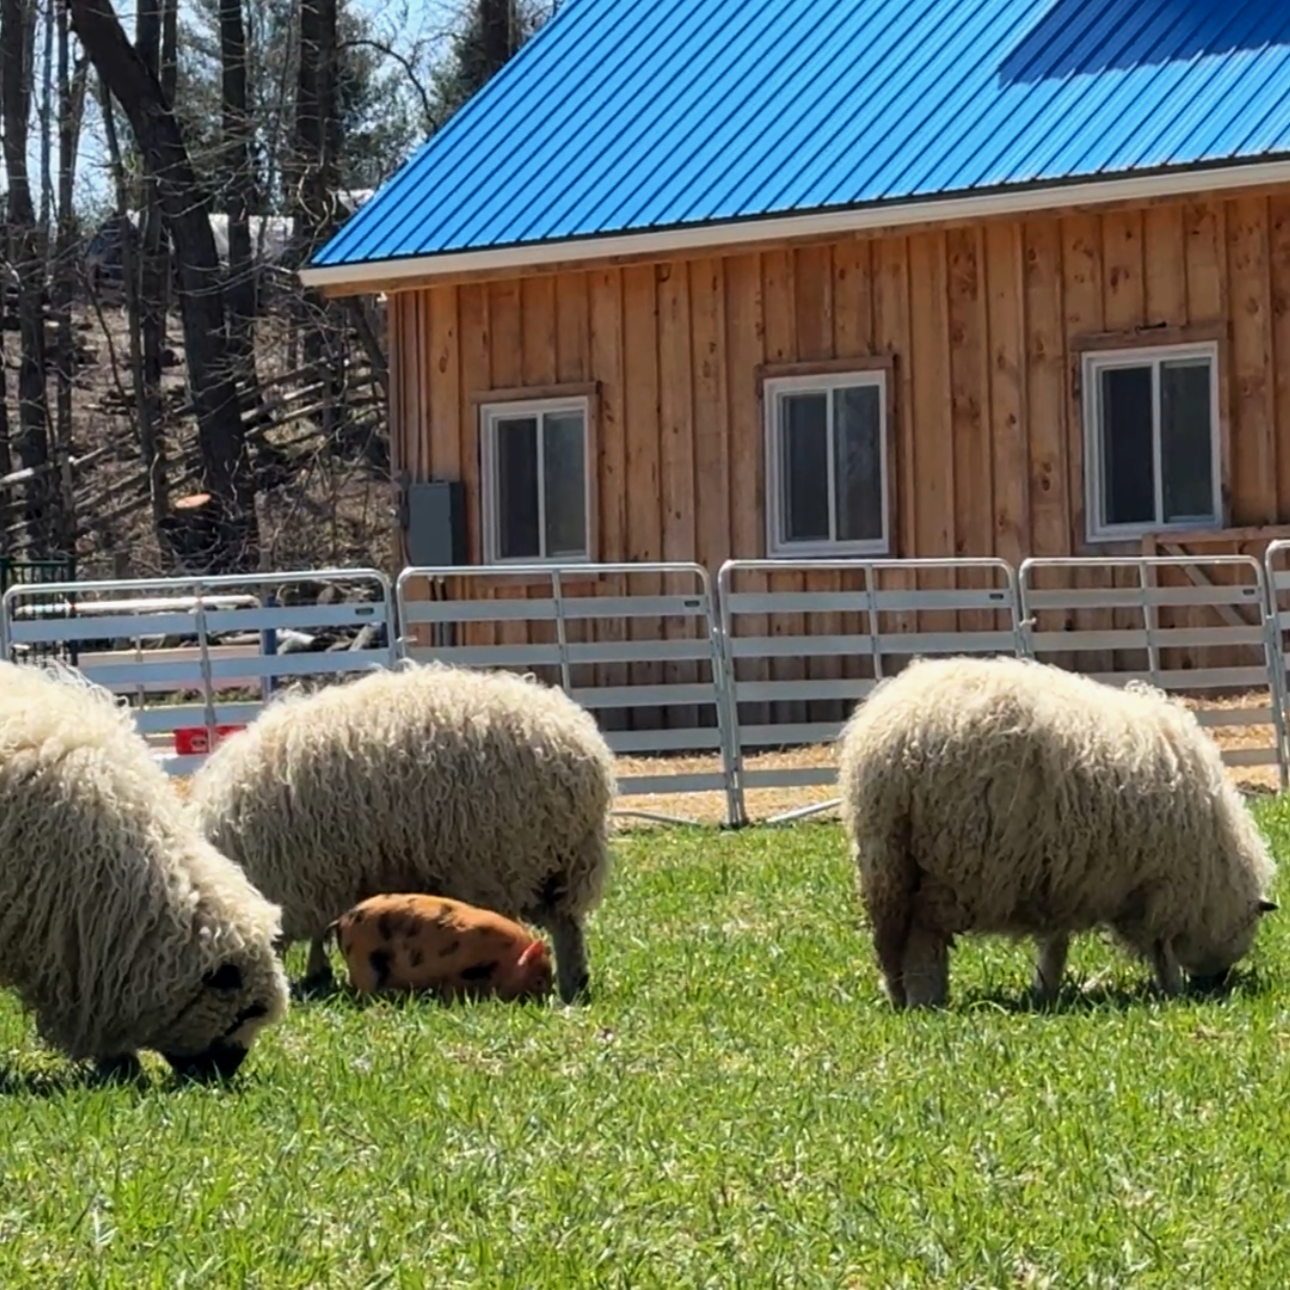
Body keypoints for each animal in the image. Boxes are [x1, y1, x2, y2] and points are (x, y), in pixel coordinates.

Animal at [326, 894, 554, 1002]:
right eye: (539, 981)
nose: (544, 1001)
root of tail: (340, 921)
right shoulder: (458, 972)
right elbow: (450, 990)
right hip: (364, 961)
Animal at [836, 653, 1278, 1008]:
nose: (1215, 985)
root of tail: (894, 741)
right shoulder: (1160, 887)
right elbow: (1158, 948)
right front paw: (1172, 991)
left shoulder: (1063, 879)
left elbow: (1055, 942)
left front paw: (1045, 989)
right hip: (943, 862)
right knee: (923, 939)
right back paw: (928, 999)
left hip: (887, 861)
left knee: (896, 945)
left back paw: (910, 996)